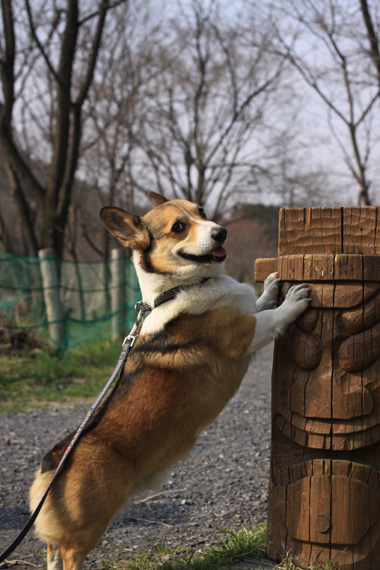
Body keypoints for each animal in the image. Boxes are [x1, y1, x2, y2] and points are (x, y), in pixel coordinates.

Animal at [29, 192, 308, 568]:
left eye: (201, 211)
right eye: (178, 227)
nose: (221, 232)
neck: (179, 288)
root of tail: (53, 461)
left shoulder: (246, 312)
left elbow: (258, 302)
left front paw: (270, 286)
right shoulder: (245, 333)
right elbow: (273, 316)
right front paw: (293, 299)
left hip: (59, 537)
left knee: (52, 551)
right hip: (85, 531)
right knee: (70, 553)